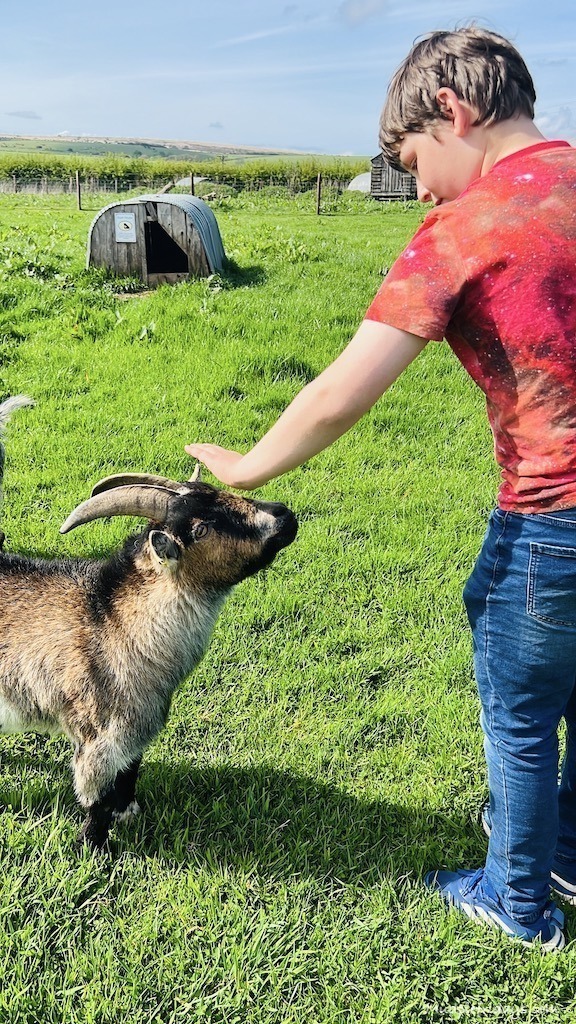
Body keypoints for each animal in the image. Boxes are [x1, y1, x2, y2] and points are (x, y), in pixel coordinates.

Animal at [0, 401, 297, 848]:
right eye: (200, 529)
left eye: (221, 493)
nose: (284, 516)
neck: (112, 621)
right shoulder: (102, 734)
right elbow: (96, 797)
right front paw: (96, 849)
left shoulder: (139, 728)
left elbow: (130, 772)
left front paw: (128, 813)